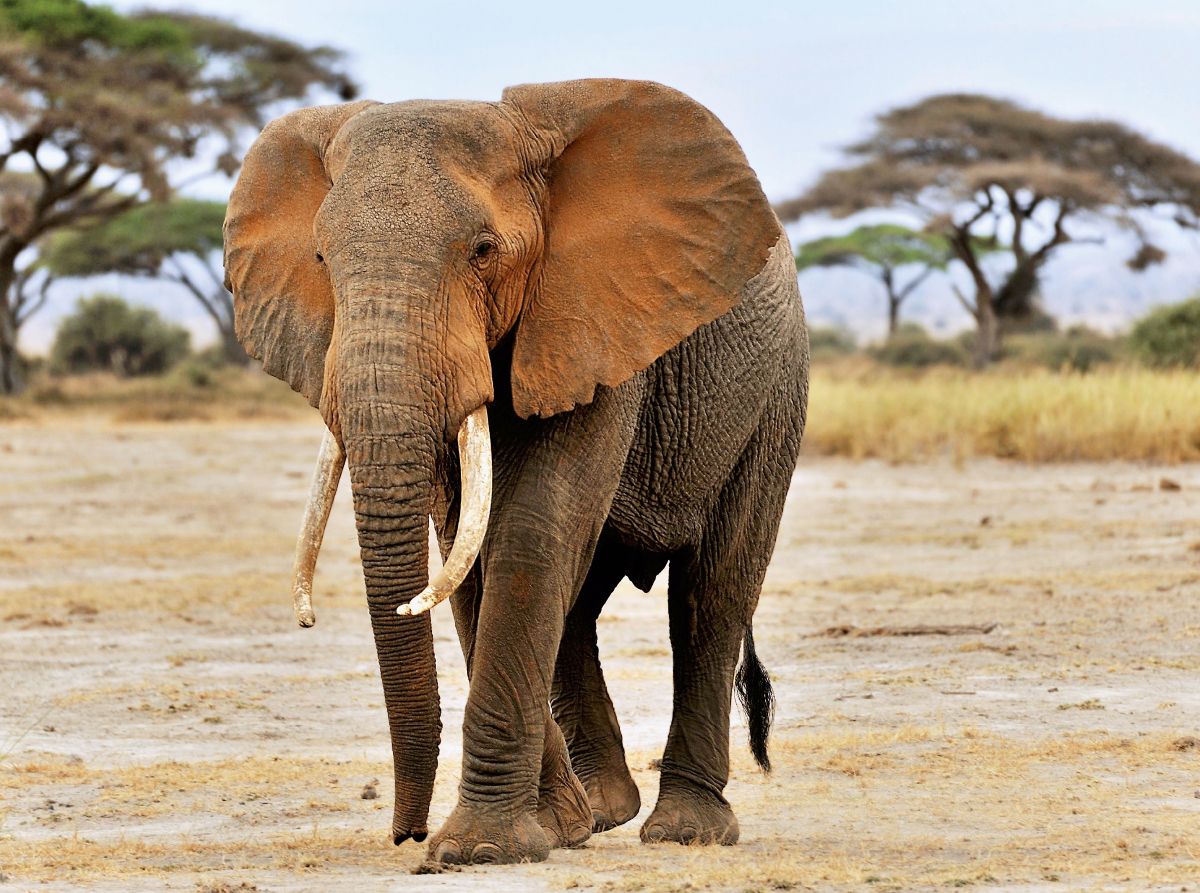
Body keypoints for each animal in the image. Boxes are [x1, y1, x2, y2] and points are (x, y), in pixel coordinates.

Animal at [222, 78, 811, 864]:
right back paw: (604, 810)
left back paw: (686, 830)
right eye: (320, 257)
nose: (407, 834)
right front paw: (556, 828)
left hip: (773, 399)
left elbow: (531, 532)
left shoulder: (597, 317)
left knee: (709, 598)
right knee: (579, 607)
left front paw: (480, 850)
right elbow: (468, 552)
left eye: (482, 250)